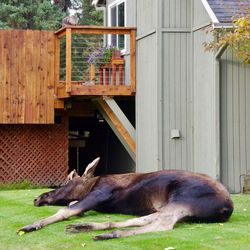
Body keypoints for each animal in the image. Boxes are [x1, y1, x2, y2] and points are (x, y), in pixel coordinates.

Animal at [17, 158, 232, 240]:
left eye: (63, 184)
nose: (37, 198)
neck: (91, 184)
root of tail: (227, 208)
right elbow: (73, 207)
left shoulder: (100, 192)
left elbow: (66, 210)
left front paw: (32, 225)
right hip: (171, 206)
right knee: (143, 220)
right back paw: (85, 227)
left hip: (182, 200)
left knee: (162, 225)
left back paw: (110, 234)